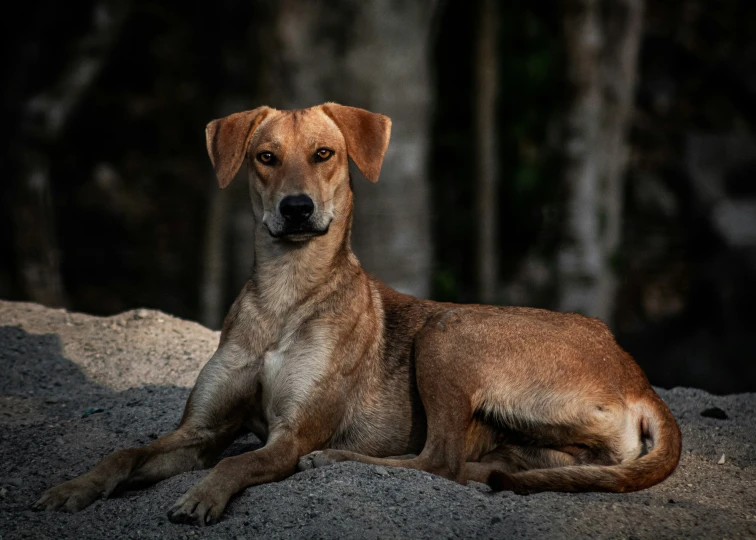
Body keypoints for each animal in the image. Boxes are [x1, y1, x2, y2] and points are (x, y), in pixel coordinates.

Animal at [35, 103, 684, 524]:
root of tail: (637, 376)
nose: (297, 209)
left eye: (325, 154)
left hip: (448, 331)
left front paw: (203, 497)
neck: (286, 294)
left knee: (439, 459)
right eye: (265, 157)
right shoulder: (200, 432)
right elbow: (125, 452)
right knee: (476, 467)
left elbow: (237, 464)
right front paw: (73, 488)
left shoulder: (290, 435)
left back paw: (336, 458)